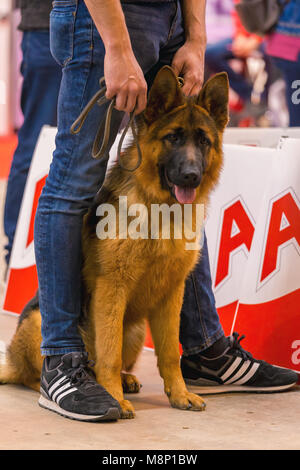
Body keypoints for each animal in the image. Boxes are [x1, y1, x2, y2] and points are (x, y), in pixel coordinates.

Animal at [1, 66, 229, 418]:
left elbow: (169, 354)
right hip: (43, 323)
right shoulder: (112, 288)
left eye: (204, 141)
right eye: (173, 138)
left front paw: (178, 394)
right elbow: (109, 351)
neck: (159, 208)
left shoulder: (172, 294)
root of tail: (11, 362)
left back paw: (125, 379)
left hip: (134, 330)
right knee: (46, 370)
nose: (191, 176)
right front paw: (114, 398)